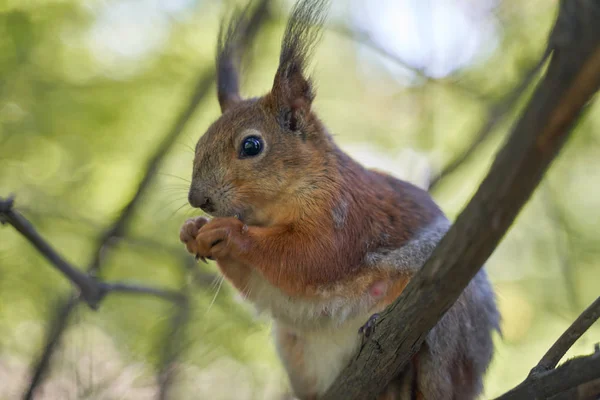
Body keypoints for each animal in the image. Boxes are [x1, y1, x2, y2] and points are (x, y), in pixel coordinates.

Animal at [179, 1, 502, 398]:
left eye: (251, 145)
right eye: (200, 142)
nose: (198, 199)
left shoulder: (346, 214)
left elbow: (312, 256)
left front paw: (227, 232)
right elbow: (260, 282)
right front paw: (193, 230)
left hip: (452, 324)